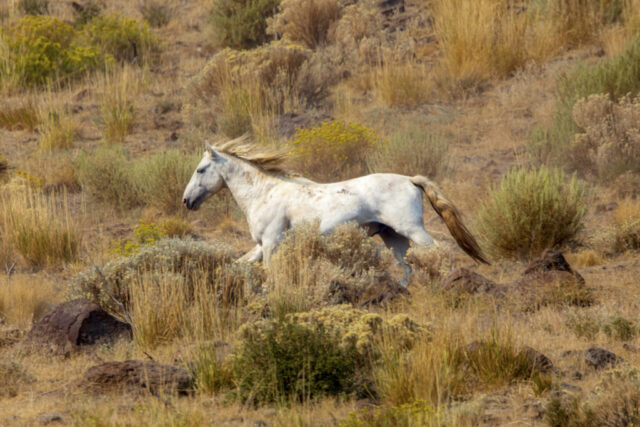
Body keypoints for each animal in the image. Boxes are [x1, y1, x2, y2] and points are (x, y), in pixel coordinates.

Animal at [182, 136, 489, 285]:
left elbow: (269, 273)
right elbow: (240, 263)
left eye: (200, 169)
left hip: (411, 229)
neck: (265, 192)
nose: (186, 201)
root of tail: (410, 180)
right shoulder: (260, 245)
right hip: (393, 238)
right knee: (406, 268)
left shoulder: (270, 243)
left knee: (439, 251)